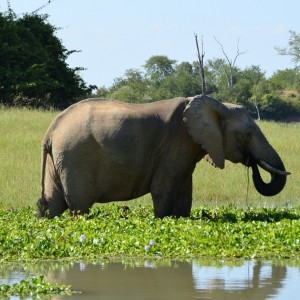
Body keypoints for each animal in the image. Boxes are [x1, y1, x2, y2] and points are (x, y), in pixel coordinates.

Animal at [36, 94, 290, 218]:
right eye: (247, 135)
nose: (252, 162)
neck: (218, 105)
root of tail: (50, 131)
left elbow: (185, 192)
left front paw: (181, 220)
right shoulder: (175, 144)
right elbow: (163, 189)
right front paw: (162, 220)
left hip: (59, 159)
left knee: (53, 202)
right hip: (77, 158)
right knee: (79, 206)